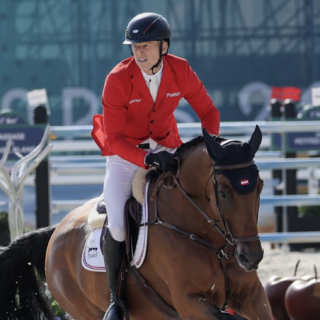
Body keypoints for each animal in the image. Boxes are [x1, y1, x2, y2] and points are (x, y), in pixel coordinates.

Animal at [0, 127, 272, 320]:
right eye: (223, 193)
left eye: (260, 186)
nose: (251, 257)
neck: (211, 240)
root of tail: (55, 233)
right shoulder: (189, 302)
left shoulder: (253, 296)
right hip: (84, 309)